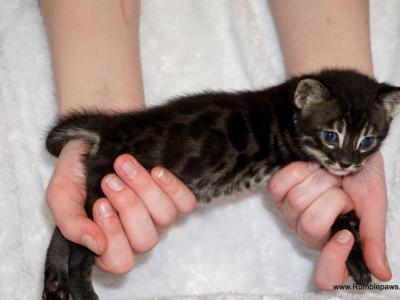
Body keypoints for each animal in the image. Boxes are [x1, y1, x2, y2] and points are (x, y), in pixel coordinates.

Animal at [41, 69, 400, 300]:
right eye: (330, 136)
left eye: (367, 141)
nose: (347, 163)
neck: (288, 110)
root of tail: (111, 126)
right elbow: (340, 218)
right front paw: (357, 261)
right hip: (107, 193)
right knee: (81, 252)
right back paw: (81, 290)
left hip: (95, 192)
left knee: (68, 228)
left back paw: (55, 282)